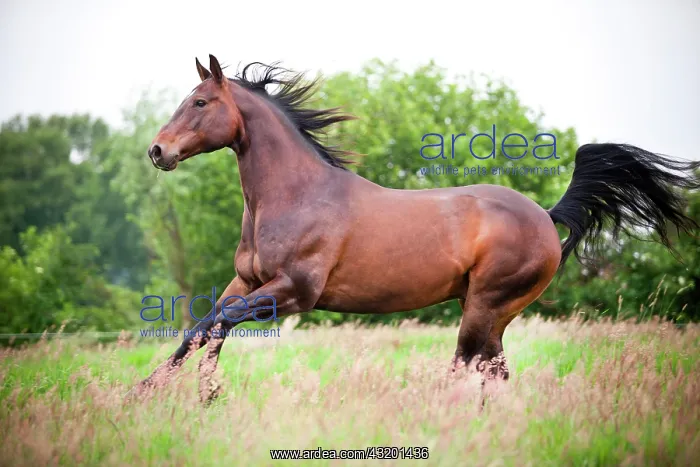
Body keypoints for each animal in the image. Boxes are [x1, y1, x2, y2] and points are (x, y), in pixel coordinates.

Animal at [134, 54, 700, 403]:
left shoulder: (294, 291)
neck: (295, 196)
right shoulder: (248, 282)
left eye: (200, 103)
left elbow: (217, 323)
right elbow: (200, 328)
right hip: (492, 314)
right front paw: (156, 391)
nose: (157, 151)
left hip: (485, 306)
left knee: (468, 365)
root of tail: (545, 215)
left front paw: (199, 394)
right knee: (494, 372)